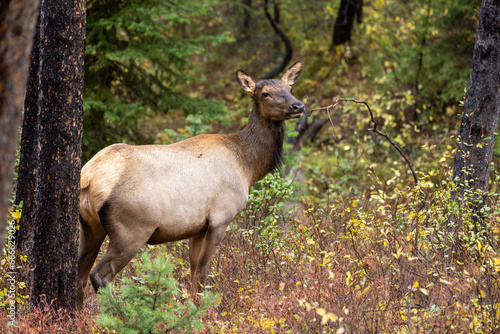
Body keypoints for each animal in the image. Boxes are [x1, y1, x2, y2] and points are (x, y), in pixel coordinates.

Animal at [77, 60, 304, 308]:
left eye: (290, 88)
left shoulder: (197, 227)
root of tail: (89, 177)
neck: (248, 165)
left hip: (90, 225)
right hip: (131, 229)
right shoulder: (220, 219)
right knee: (100, 275)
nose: (298, 105)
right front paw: (198, 310)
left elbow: (193, 271)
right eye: (265, 93)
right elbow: (202, 273)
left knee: (79, 273)